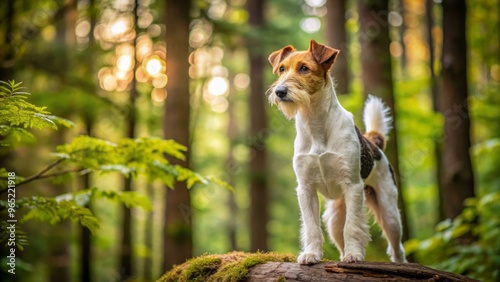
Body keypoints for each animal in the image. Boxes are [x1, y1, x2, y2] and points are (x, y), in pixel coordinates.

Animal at [270, 39, 406, 264]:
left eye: (304, 68)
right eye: (281, 69)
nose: (279, 91)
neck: (315, 124)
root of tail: (374, 142)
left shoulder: (353, 186)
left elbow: (352, 227)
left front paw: (354, 254)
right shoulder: (306, 188)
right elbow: (311, 226)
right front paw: (311, 254)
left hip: (390, 213)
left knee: (397, 249)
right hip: (334, 219)